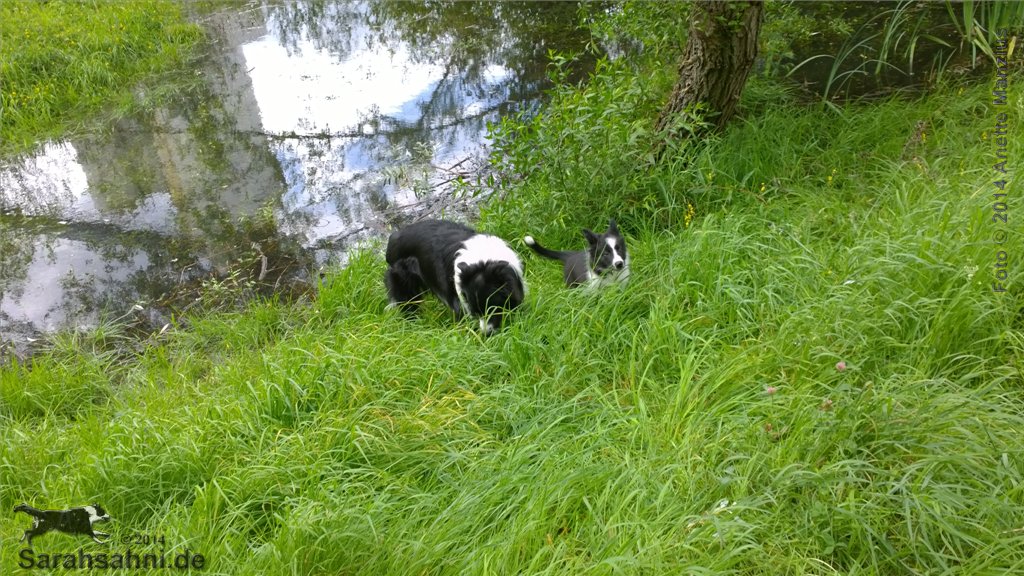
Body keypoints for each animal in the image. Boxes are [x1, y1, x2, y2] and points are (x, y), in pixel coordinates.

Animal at [385, 219, 526, 335]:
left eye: (492, 309)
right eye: (476, 312)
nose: (486, 334)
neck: (484, 259)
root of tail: (393, 238)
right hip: (403, 278)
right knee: (407, 301)